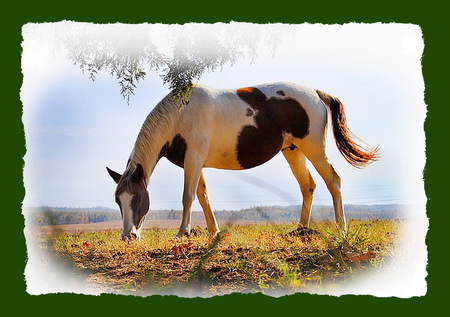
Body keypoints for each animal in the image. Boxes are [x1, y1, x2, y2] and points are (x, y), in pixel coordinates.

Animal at [107, 81, 378, 239]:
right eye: (118, 200)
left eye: (138, 198)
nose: (128, 236)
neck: (180, 113)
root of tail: (317, 93)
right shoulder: (194, 161)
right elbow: (203, 196)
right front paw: (213, 231)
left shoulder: (193, 158)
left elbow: (188, 196)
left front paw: (183, 232)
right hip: (293, 151)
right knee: (307, 186)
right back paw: (301, 230)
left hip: (314, 149)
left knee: (333, 181)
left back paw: (341, 227)